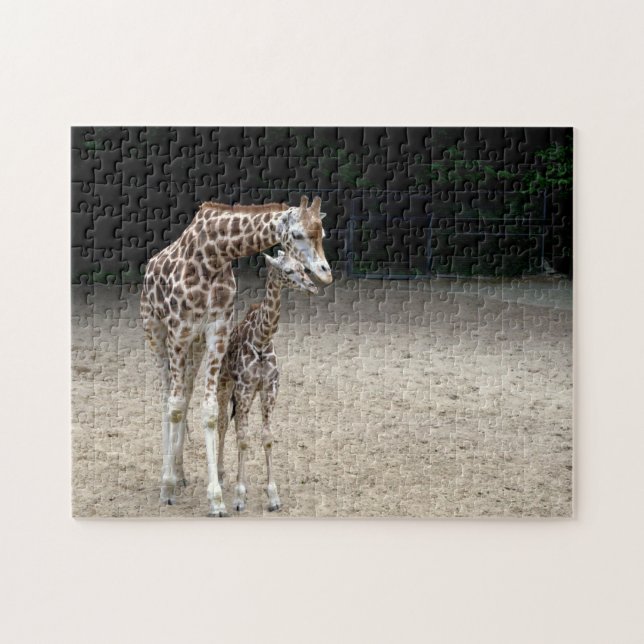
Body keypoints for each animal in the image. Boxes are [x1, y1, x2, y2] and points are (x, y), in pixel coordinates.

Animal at [216, 251, 317, 512]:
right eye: (287, 271)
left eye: (303, 268)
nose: (312, 286)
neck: (261, 340)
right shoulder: (243, 389)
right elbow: (243, 438)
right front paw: (239, 497)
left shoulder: (269, 389)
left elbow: (267, 437)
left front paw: (273, 495)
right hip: (224, 384)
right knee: (222, 423)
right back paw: (219, 475)